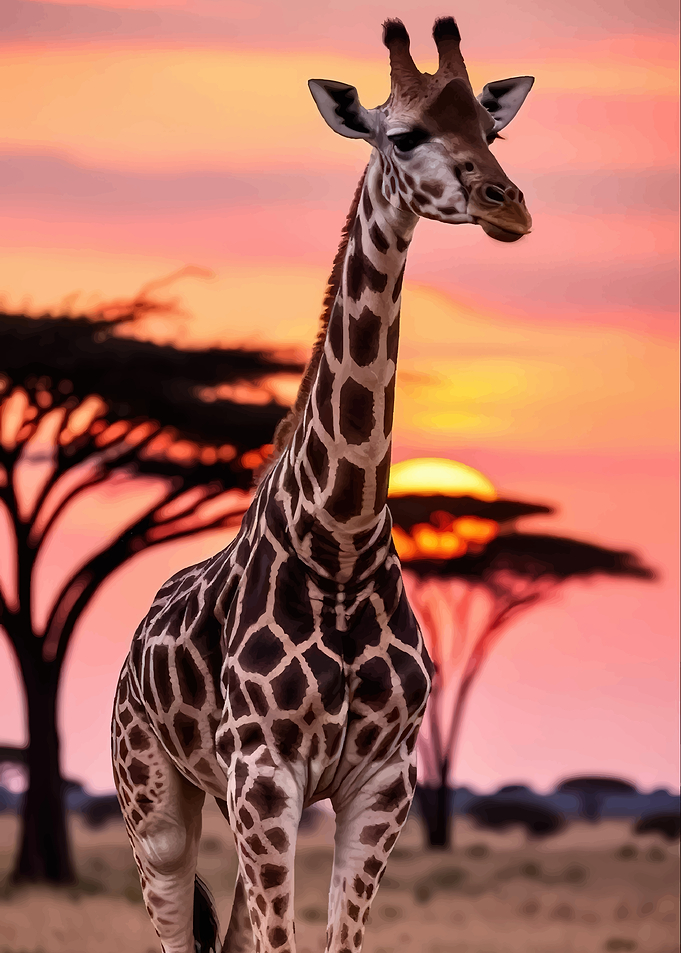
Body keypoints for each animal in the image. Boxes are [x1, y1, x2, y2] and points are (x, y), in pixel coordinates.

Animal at [112, 16, 533, 953]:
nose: (507, 205)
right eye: (404, 135)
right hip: (154, 799)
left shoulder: (381, 780)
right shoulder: (264, 771)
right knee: (173, 923)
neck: (338, 543)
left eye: (490, 131)